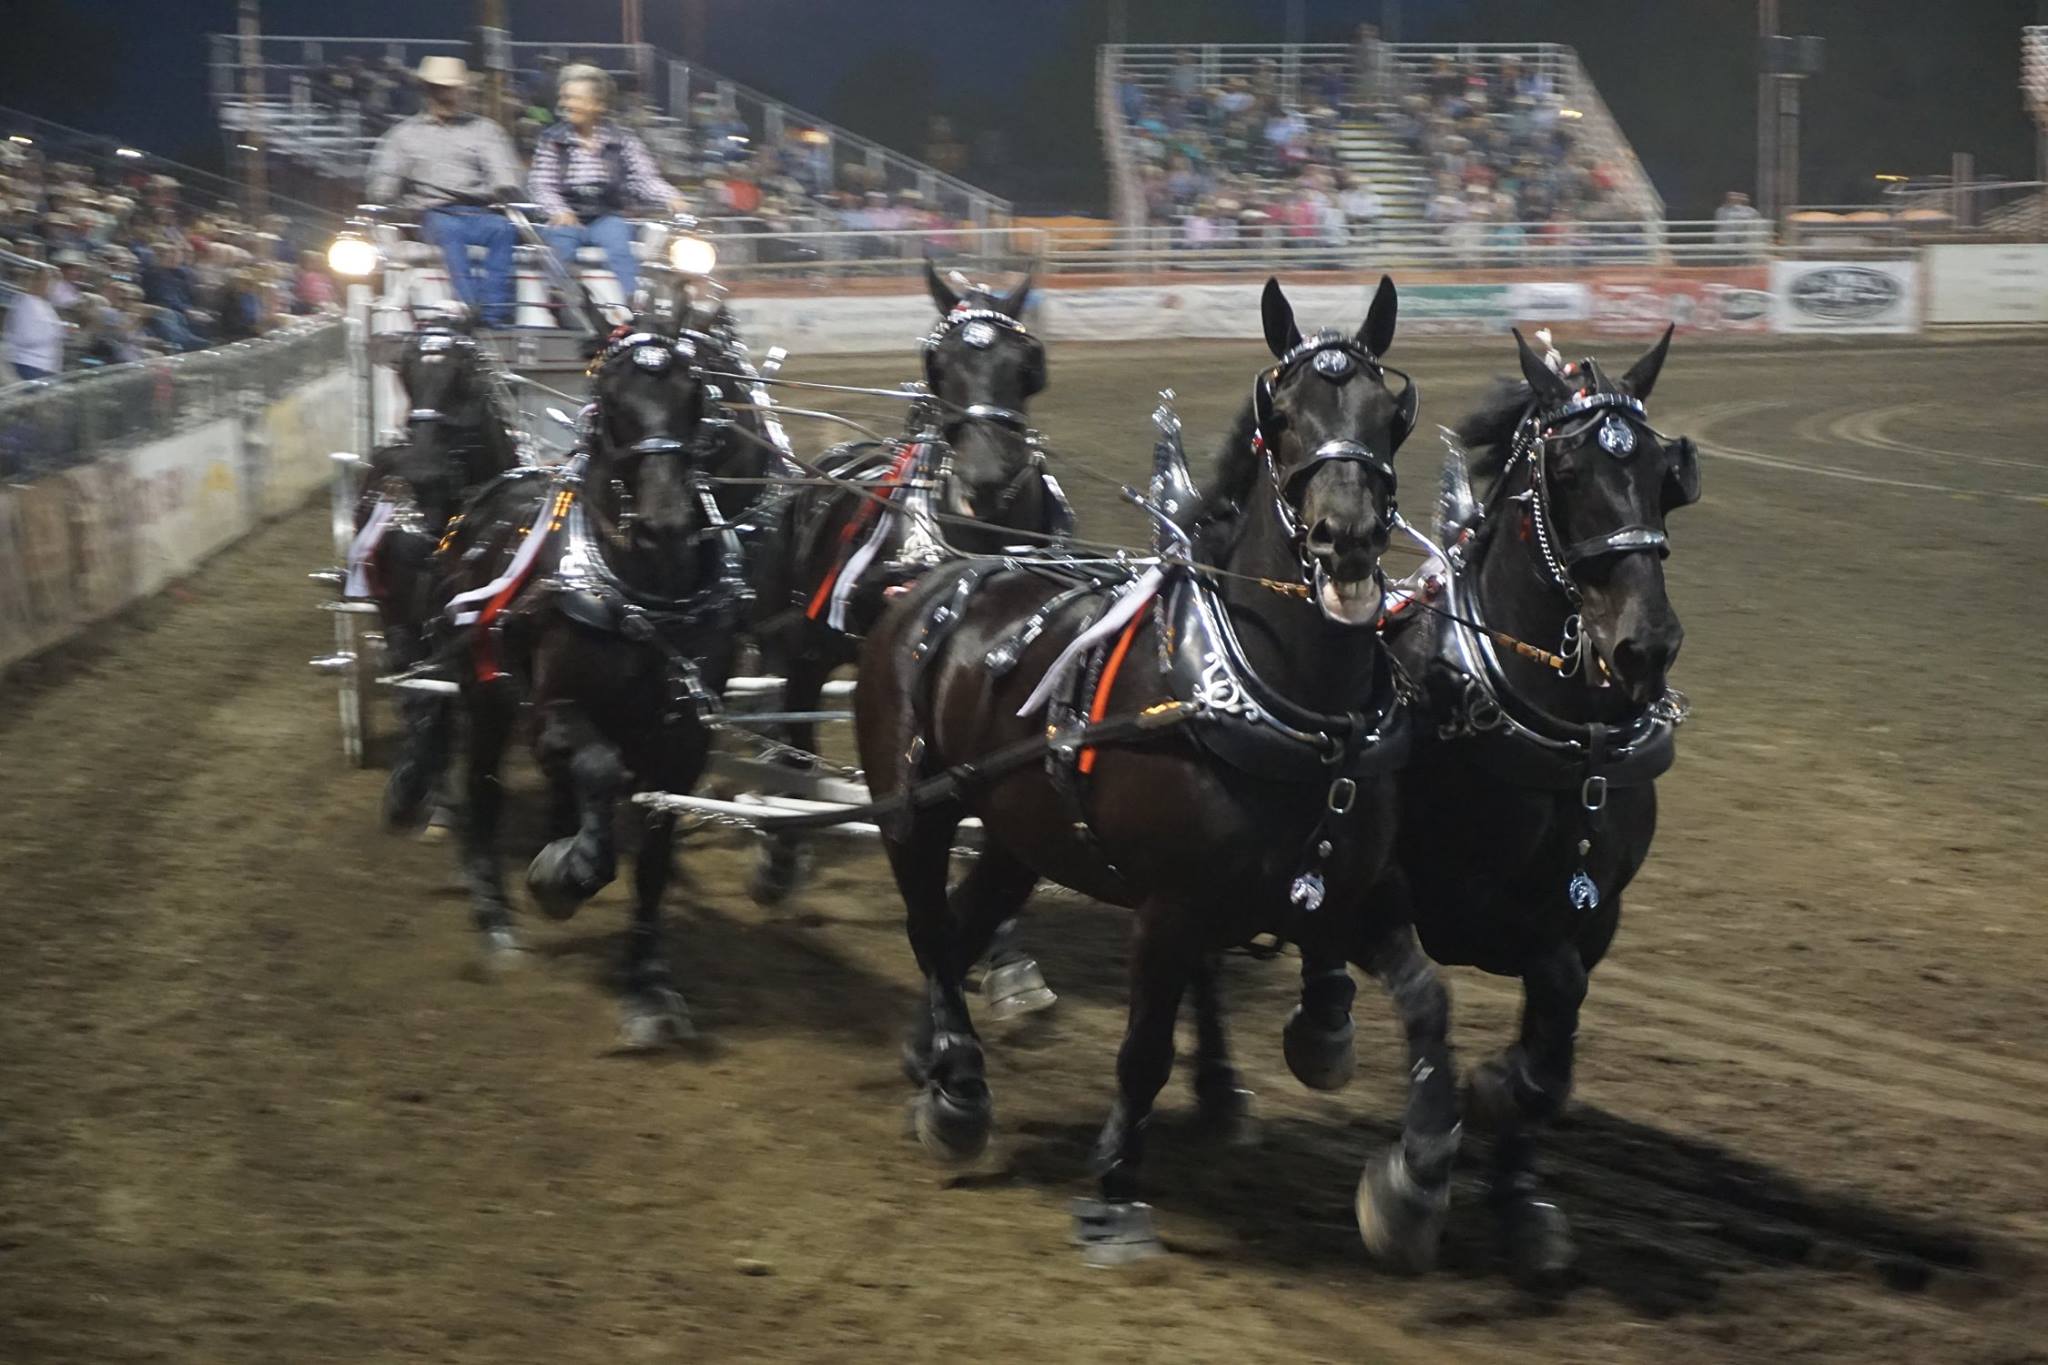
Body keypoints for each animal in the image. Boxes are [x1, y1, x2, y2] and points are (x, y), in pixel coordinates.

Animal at [348, 317, 520, 834]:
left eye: (464, 376)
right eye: (404, 371)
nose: (422, 471)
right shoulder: (406, 623)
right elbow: (424, 698)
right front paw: (418, 789)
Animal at [856, 278, 1466, 1268]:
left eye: (1389, 414)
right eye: (1281, 417)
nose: (1343, 542)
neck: (1284, 703)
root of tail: (941, 580)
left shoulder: (1355, 890)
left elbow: (1428, 1001)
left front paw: (1415, 1179)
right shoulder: (1169, 907)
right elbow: (1142, 1046)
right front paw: (1112, 1186)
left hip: (1018, 833)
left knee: (964, 919)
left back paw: (940, 1062)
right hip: (914, 811)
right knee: (929, 930)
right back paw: (958, 1091)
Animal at [1302, 325, 1703, 1285]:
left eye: (1667, 473)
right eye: (1567, 471)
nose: (1646, 645)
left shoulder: (1590, 918)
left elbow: (1555, 1024)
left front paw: (1514, 1164)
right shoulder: (1382, 896)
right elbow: (1428, 1003)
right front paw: (1413, 1180)